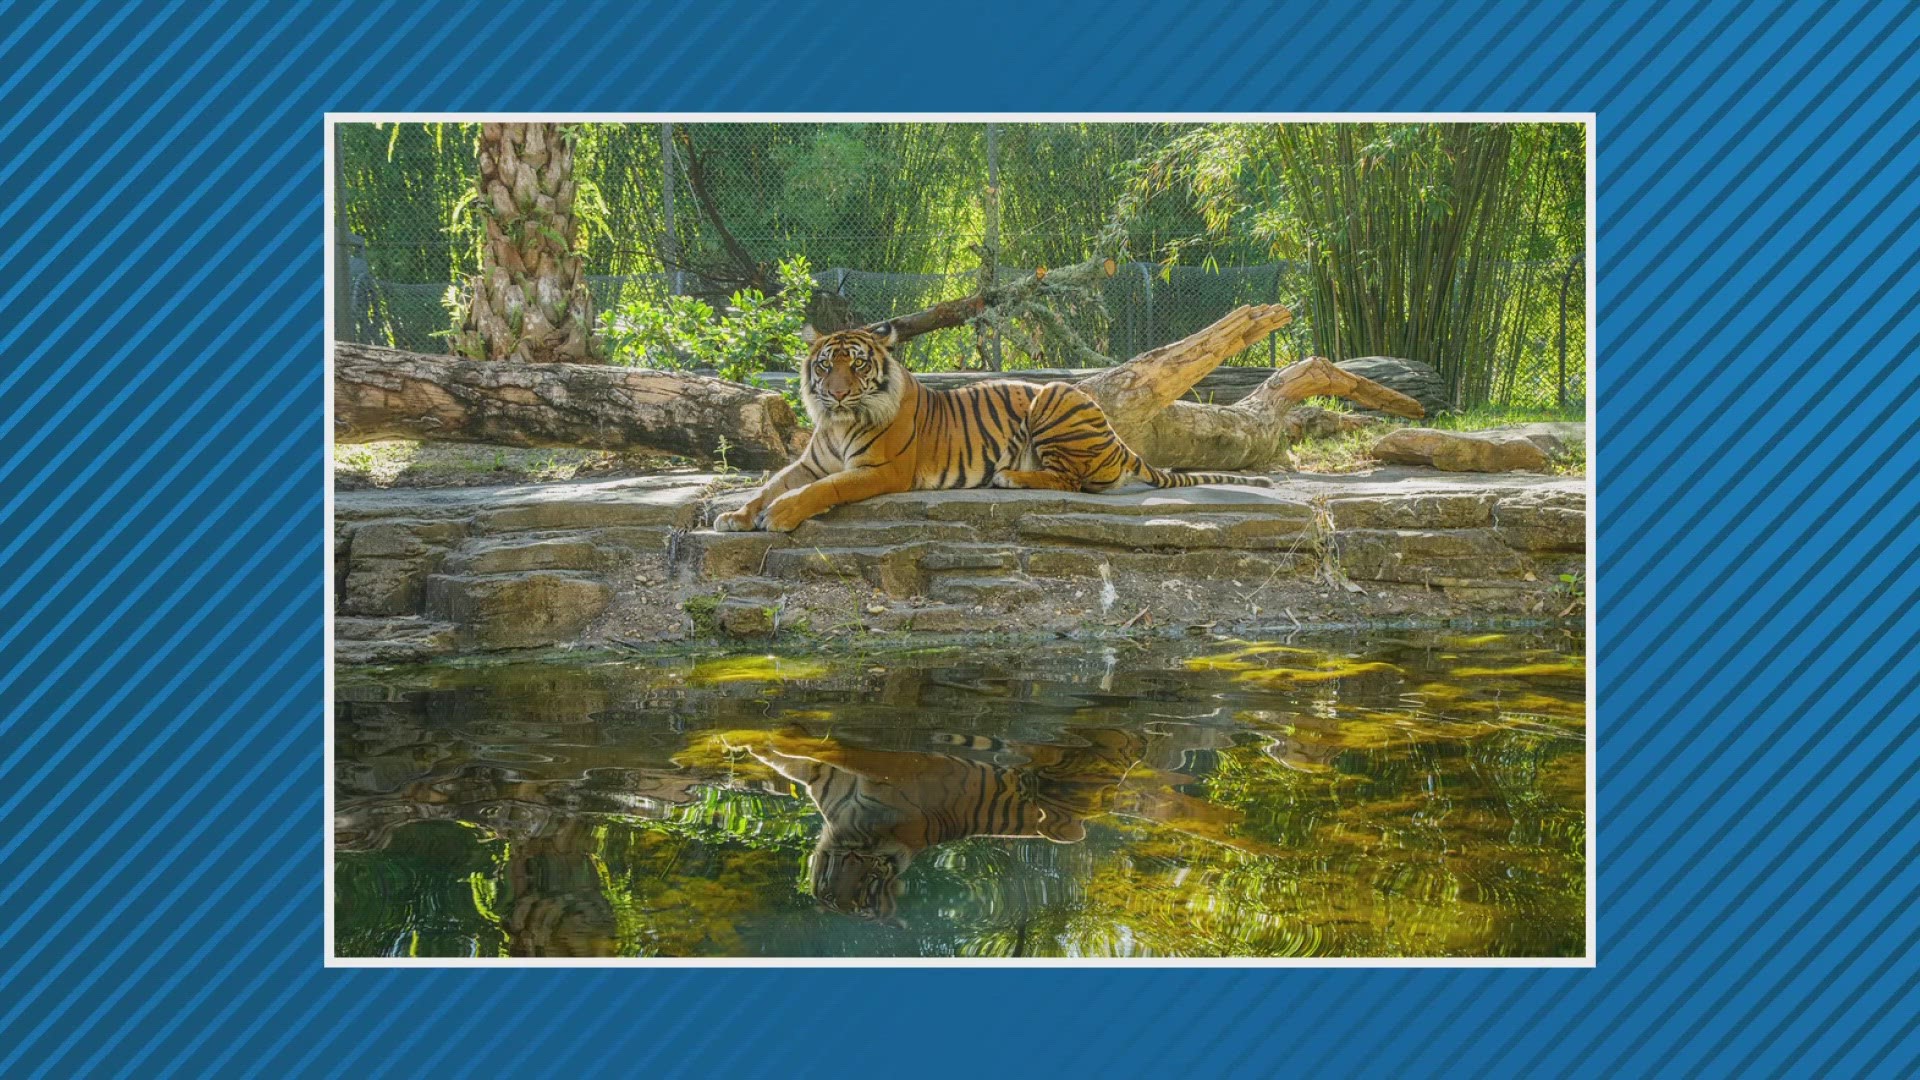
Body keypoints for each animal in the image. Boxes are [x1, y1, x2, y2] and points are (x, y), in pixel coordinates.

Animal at [714, 323, 1272, 533]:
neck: (837, 423)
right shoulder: (809, 462)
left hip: (1054, 397)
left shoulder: (880, 470)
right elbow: (769, 485)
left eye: (856, 364)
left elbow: (820, 491)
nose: (835, 393)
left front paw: (779, 517)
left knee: (1075, 481)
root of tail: (1117, 441)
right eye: (826, 366)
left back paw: (1009, 477)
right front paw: (736, 516)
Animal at [748, 726, 1145, 926]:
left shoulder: (889, 768)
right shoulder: (823, 782)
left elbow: (836, 750)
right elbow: (787, 761)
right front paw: (753, 744)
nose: (844, 896)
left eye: (873, 880)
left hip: (1068, 813)